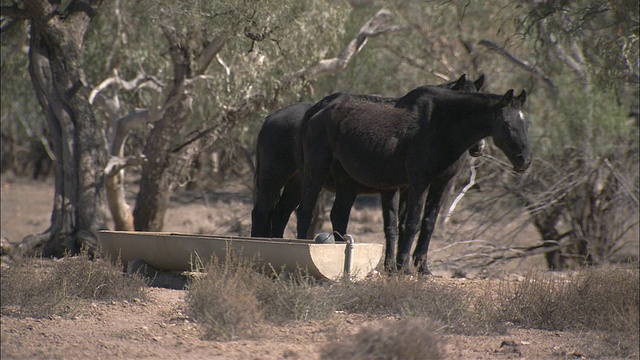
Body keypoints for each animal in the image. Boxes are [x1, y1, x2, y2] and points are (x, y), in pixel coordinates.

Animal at [250, 74, 484, 268]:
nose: (479, 147)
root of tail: (271, 117)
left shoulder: (427, 184)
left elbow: (418, 223)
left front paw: (408, 267)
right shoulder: (398, 187)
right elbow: (394, 225)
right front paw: (396, 267)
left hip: (298, 183)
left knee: (283, 214)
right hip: (283, 175)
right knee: (269, 211)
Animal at [298, 84, 528, 272]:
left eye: (525, 123)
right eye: (506, 124)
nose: (524, 160)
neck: (441, 125)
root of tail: (319, 108)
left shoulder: (440, 184)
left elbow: (428, 223)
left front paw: (422, 268)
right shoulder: (418, 182)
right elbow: (412, 222)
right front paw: (403, 267)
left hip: (346, 181)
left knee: (339, 215)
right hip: (316, 169)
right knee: (305, 211)